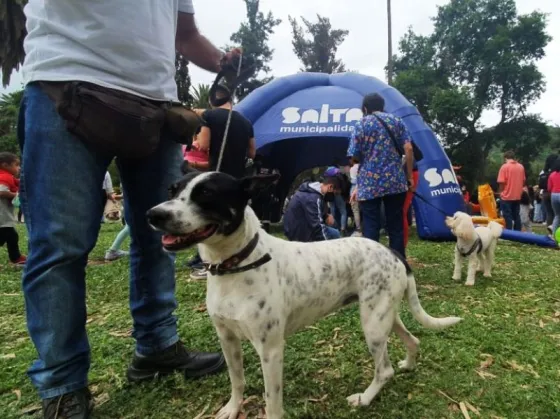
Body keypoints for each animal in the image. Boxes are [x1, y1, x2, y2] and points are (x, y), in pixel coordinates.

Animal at [147, 171, 462, 419]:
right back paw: (408, 364)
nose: (154, 215)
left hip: (372, 324)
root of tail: (393, 252)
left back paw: (364, 398)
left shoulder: (271, 350)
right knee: (412, 339)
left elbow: (272, 401)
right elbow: (237, 381)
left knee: (383, 370)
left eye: (206, 194)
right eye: (172, 190)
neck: (236, 264)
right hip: (384, 316)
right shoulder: (228, 339)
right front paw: (233, 409)